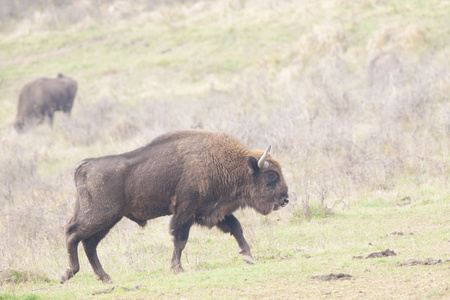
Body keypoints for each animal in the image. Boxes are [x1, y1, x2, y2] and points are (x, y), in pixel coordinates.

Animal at [60, 131, 288, 284]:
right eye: (271, 176)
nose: (285, 199)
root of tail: (84, 166)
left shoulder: (212, 211)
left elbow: (236, 227)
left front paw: (249, 256)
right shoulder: (186, 212)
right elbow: (180, 239)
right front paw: (178, 268)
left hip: (108, 220)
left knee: (89, 243)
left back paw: (105, 277)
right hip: (101, 216)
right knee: (72, 233)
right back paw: (69, 273)